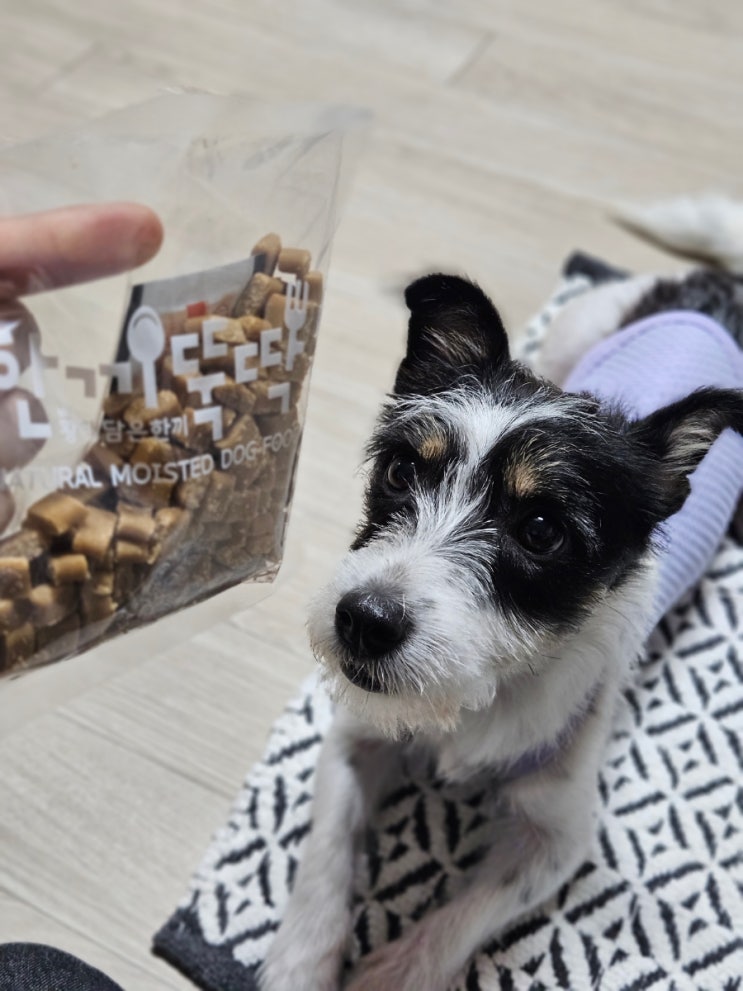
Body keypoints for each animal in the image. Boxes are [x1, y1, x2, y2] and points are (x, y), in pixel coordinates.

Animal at [259, 197, 743, 991]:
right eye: (400, 472)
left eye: (541, 530)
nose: (361, 620)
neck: (476, 696)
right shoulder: (358, 733)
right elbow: (327, 849)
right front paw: (300, 964)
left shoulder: (557, 834)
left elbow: (464, 915)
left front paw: (389, 974)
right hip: (579, 327)